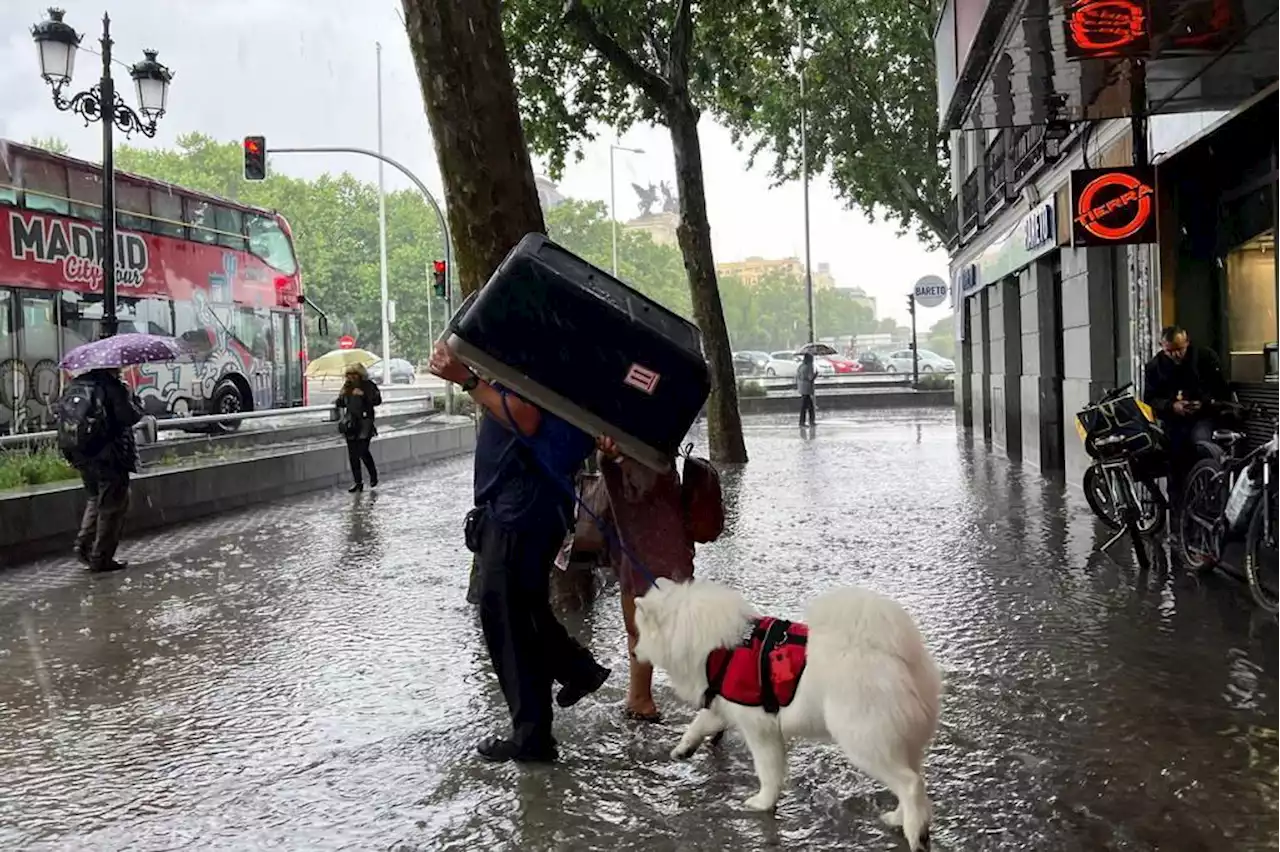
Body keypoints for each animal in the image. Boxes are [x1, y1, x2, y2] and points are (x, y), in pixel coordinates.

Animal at [629, 578, 942, 849]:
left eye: (640, 633)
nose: (633, 653)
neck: (717, 649)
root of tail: (897, 656)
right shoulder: (725, 706)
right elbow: (698, 723)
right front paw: (683, 750)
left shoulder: (759, 728)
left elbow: (767, 771)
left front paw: (763, 803)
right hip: (899, 741)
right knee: (914, 781)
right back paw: (900, 818)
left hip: (863, 740)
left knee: (910, 783)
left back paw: (916, 833)